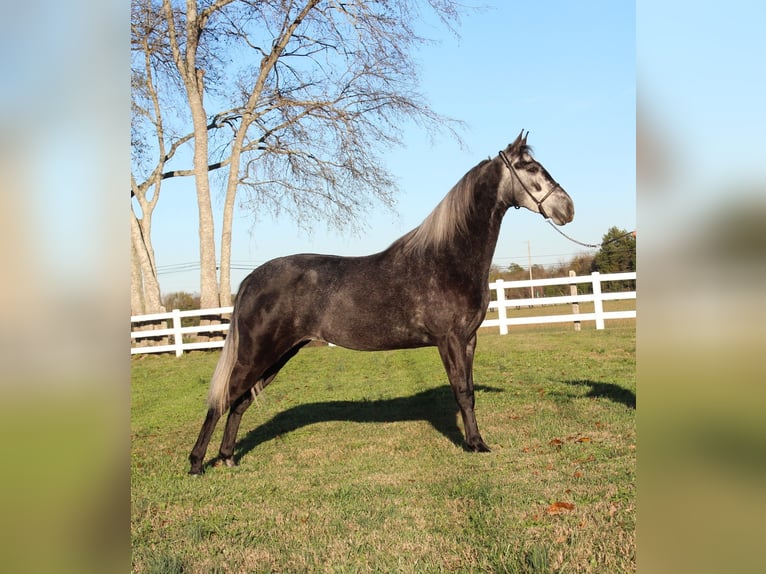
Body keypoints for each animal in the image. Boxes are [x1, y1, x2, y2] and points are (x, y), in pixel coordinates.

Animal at [190, 130, 576, 476]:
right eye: (531, 167)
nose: (567, 208)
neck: (447, 258)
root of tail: (250, 281)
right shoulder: (449, 340)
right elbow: (462, 392)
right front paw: (476, 445)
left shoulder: (469, 339)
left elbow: (468, 392)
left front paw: (475, 441)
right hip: (257, 354)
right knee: (221, 400)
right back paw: (196, 463)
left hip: (278, 356)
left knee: (239, 402)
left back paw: (227, 458)